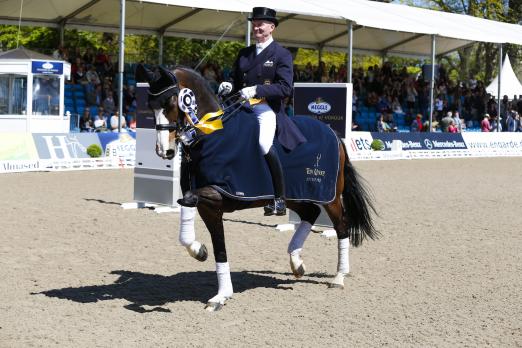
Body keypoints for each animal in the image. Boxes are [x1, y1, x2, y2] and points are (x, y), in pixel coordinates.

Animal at [136, 64, 376, 312]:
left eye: (171, 102)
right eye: (150, 105)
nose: (164, 151)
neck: (212, 135)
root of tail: (333, 134)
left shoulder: (221, 194)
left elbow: (193, 200)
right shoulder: (209, 206)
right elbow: (214, 242)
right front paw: (212, 276)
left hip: (330, 196)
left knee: (341, 226)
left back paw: (338, 277)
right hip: (295, 197)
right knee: (311, 213)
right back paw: (296, 262)